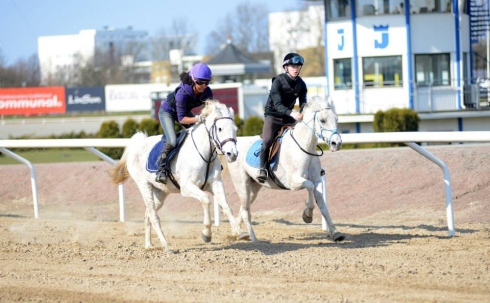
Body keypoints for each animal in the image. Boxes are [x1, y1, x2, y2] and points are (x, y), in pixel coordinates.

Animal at [110, 100, 245, 254]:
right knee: (154, 216)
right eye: (220, 129)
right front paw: (206, 234)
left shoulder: (216, 184)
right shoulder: (187, 187)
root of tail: (138, 145)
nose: (232, 154)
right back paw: (166, 246)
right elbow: (206, 200)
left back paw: (149, 244)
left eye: (235, 129)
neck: (205, 153)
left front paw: (239, 232)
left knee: (148, 214)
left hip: (160, 192)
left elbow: (226, 206)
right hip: (144, 186)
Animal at [226, 96, 344, 243]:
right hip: (242, 186)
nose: (336, 143)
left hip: (253, 188)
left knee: (243, 210)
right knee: (246, 211)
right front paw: (307, 215)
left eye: (336, 119)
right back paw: (253, 238)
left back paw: (238, 233)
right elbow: (309, 188)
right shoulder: (293, 182)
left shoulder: (317, 181)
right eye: (322, 120)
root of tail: (234, 148)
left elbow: (323, 207)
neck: (305, 147)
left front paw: (335, 233)